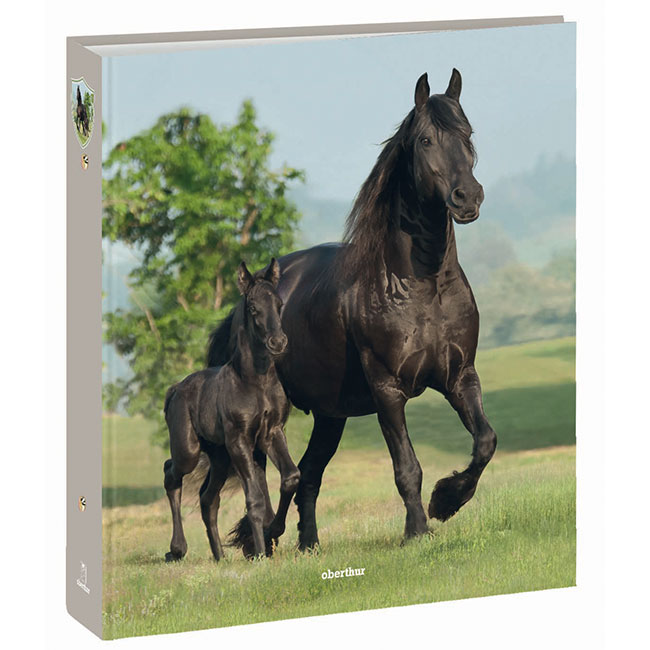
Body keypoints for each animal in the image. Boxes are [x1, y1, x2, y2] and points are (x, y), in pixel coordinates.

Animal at [163, 259, 300, 561]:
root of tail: (176, 388)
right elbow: (255, 498)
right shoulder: (240, 440)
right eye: (253, 308)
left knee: (207, 498)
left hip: (220, 458)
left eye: (279, 303)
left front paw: (273, 531)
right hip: (190, 451)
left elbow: (290, 478)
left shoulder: (272, 433)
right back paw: (177, 549)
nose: (278, 342)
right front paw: (260, 551)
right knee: (170, 473)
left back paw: (219, 556)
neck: (255, 382)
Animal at [207, 69, 497, 552]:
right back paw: (262, 539)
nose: (467, 198)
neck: (421, 287)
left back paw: (308, 546)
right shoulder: (387, 392)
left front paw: (446, 501)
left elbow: (485, 442)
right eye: (425, 140)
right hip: (267, 422)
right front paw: (416, 531)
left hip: (330, 415)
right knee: (266, 477)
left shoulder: (460, 376)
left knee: (307, 476)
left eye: (467, 134)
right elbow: (407, 467)